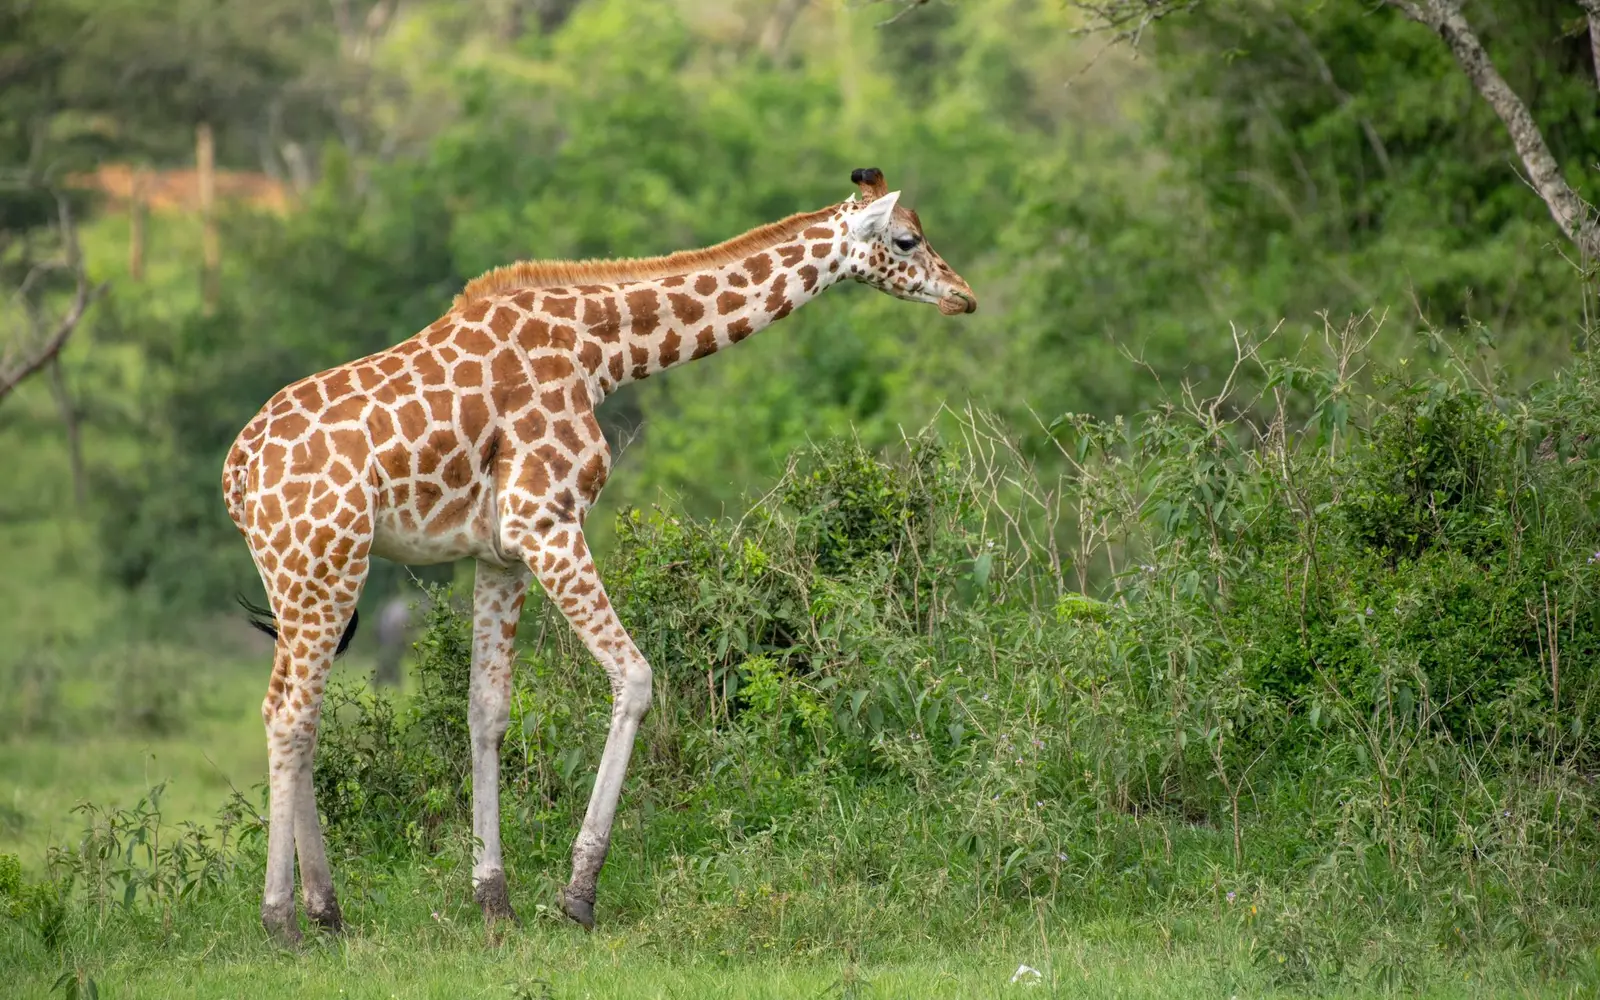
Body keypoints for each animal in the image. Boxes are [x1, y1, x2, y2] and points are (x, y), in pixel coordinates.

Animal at [222, 167, 976, 942]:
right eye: (906, 240)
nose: (963, 294)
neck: (600, 351)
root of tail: (239, 472)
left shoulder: (501, 550)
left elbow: (486, 710)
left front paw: (493, 898)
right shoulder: (545, 520)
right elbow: (636, 677)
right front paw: (578, 893)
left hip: (301, 573)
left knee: (299, 711)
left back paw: (328, 911)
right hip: (325, 560)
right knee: (288, 712)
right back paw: (283, 921)